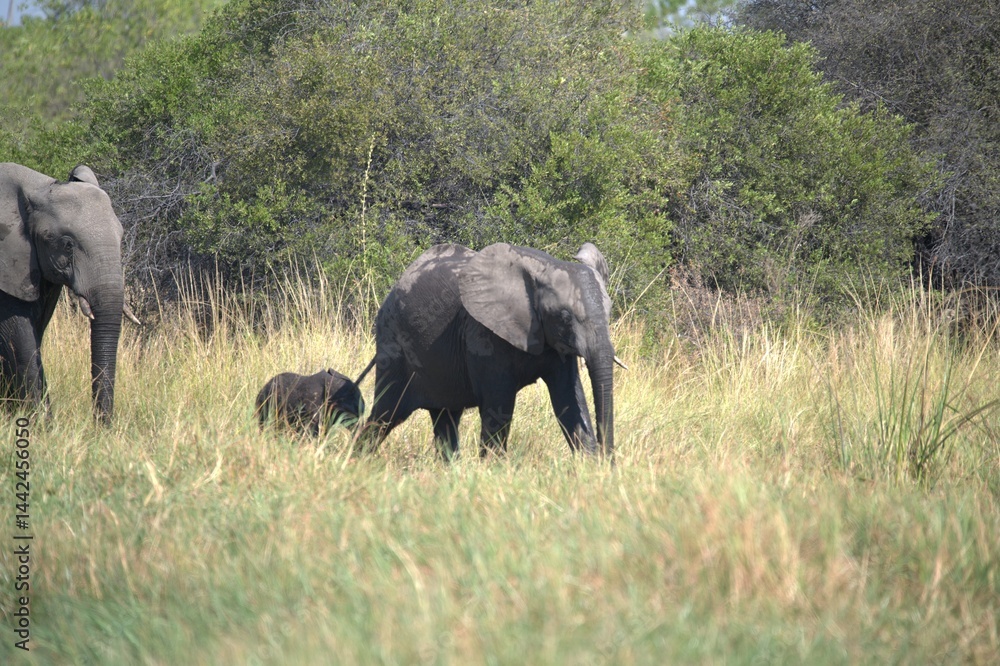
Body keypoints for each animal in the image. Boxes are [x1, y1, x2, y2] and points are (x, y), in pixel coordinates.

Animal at [1, 162, 138, 422]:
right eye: (67, 245)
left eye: (121, 237)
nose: (102, 426)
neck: (36, 186)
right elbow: (20, 341)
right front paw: (40, 424)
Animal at [358, 241, 621, 460]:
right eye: (565, 317)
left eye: (609, 312)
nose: (608, 460)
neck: (542, 267)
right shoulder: (484, 334)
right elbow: (499, 407)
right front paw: (493, 470)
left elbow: (569, 401)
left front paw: (589, 467)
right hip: (394, 345)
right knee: (386, 415)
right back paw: (357, 461)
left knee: (445, 419)